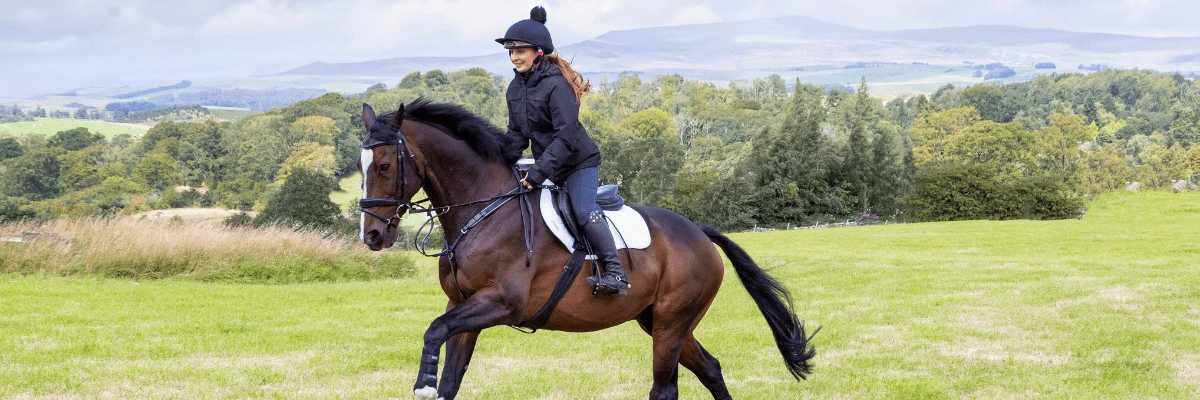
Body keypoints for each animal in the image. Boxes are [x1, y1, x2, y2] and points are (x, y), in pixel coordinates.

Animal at [357, 99, 815, 400]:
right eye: (360, 167)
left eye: (384, 166)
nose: (372, 236)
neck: (483, 210)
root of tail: (699, 233)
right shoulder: (463, 306)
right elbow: (450, 379)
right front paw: (432, 381)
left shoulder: (500, 303)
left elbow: (433, 331)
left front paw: (422, 382)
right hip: (661, 321)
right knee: (711, 370)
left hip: (671, 322)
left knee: (665, 388)